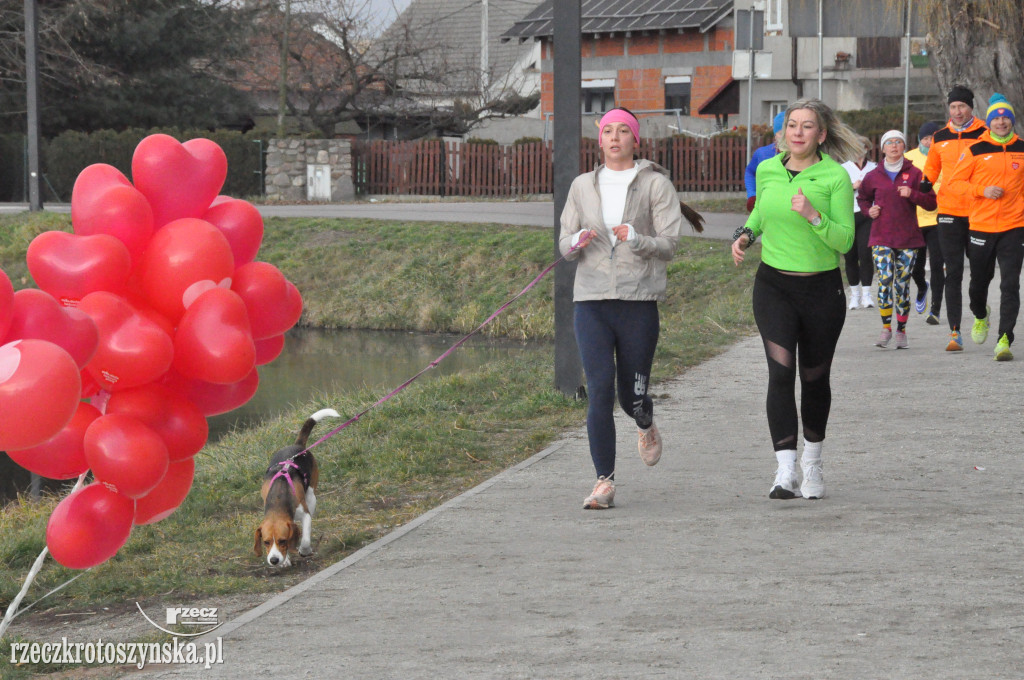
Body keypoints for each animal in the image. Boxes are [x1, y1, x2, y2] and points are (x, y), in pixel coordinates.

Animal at [254, 409, 339, 569]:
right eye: (266, 542)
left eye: (282, 540)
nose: (274, 560)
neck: (279, 497)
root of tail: (298, 446)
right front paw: (286, 559)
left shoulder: (304, 514)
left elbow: (304, 538)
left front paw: (303, 550)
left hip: (311, 496)